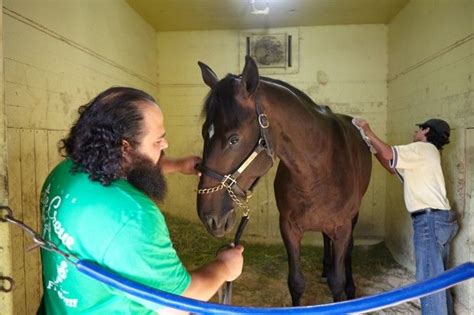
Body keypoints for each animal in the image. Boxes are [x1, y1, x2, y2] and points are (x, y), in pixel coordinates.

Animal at [195, 55, 370, 304]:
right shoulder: (288, 227)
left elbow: (337, 282)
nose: (209, 218)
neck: (316, 172)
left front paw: (344, 287)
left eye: (234, 139)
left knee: (349, 251)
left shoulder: (342, 228)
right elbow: (296, 283)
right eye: (204, 133)